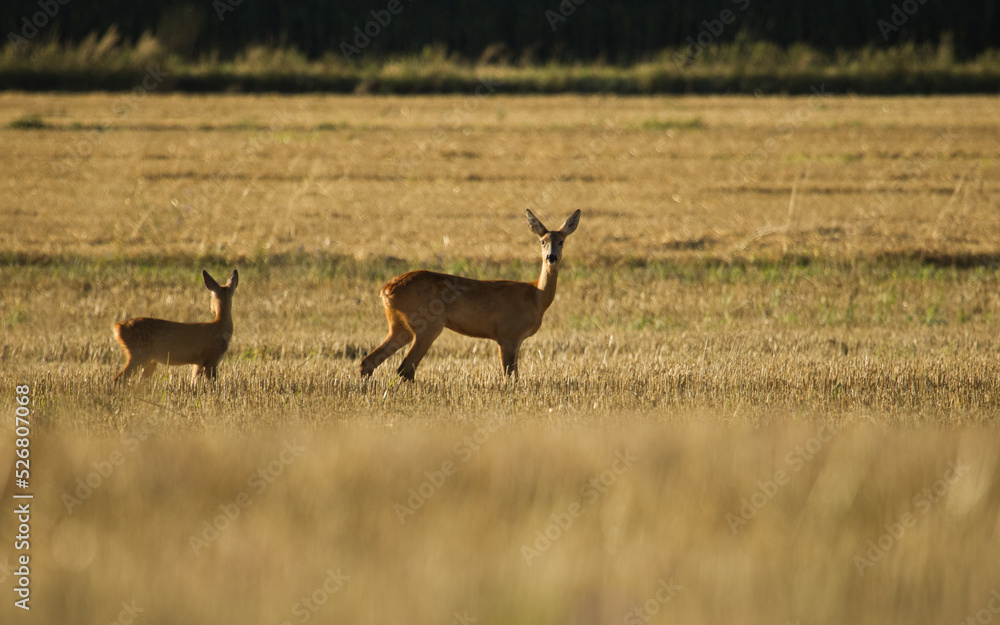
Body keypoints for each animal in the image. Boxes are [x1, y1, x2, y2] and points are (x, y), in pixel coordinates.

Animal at [360, 209, 581, 381]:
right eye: (542, 241)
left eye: (561, 241)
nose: (551, 257)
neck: (536, 296)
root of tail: (386, 289)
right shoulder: (507, 334)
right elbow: (509, 376)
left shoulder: (515, 338)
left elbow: (514, 375)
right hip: (428, 325)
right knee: (405, 368)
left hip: (400, 326)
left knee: (369, 361)